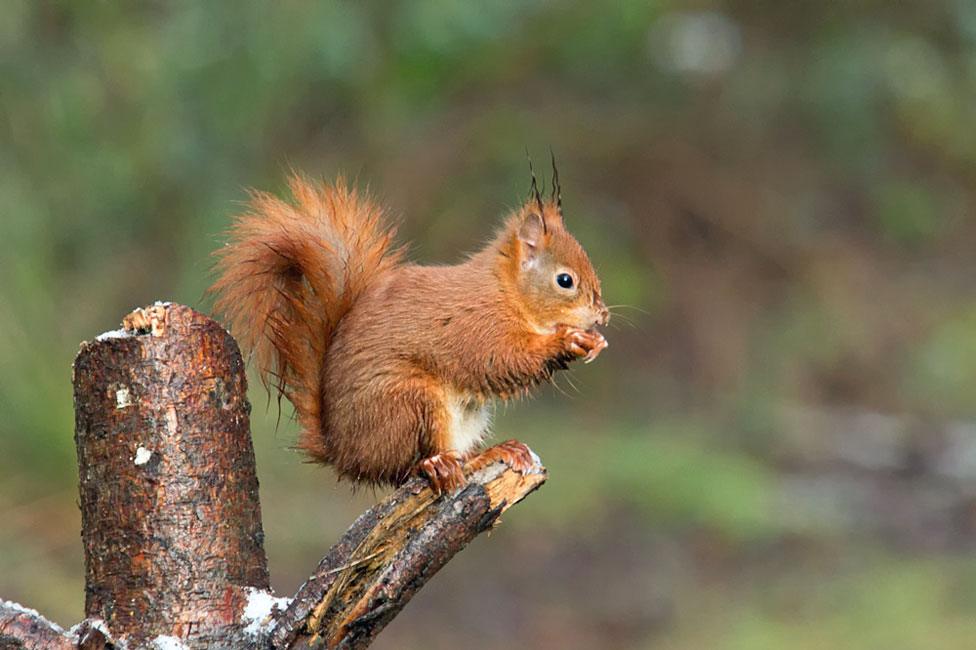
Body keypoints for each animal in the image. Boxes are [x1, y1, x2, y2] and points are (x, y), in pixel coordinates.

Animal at [213, 167, 608, 492]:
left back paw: (499, 450)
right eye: (565, 280)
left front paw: (595, 341)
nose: (602, 315)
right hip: (411, 401)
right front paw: (568, 339)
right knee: (407, 466)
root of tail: (344, 454)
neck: (506, 292)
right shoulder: (475, 326)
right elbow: (501, 360)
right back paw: (444, 464)